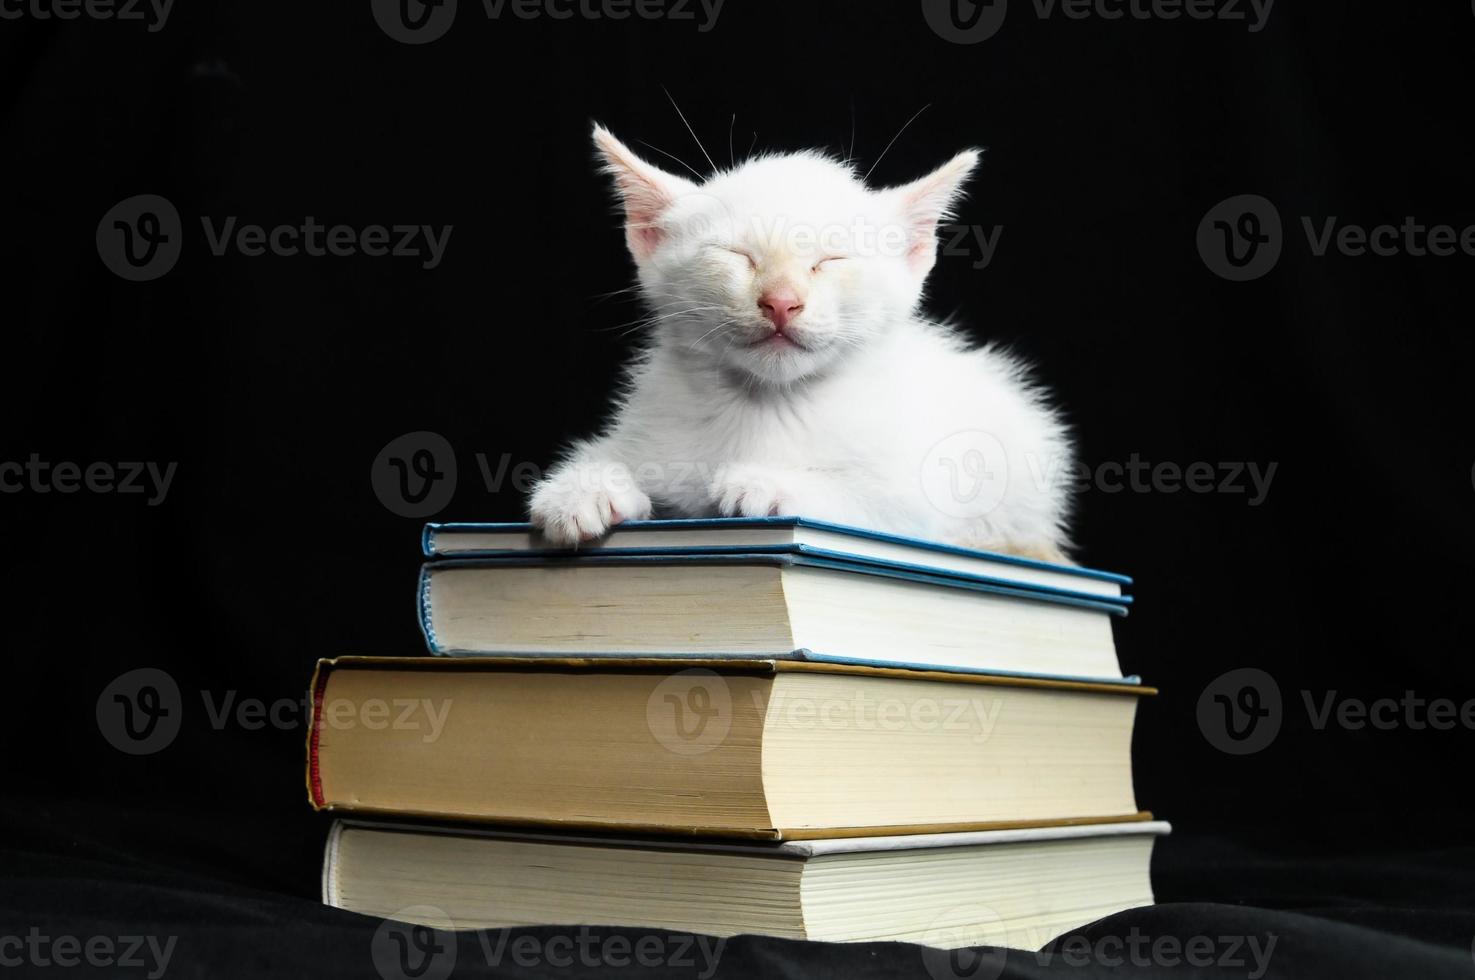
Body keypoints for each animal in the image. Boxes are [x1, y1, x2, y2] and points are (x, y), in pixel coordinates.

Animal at [528, 126, 1073, 563]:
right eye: (738, 256)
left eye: (829, 261)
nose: (781, 302)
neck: (766, 404)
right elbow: (617, 460)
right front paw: (580, 491)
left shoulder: (919, 494)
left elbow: (871, 502)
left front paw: (768, 483)